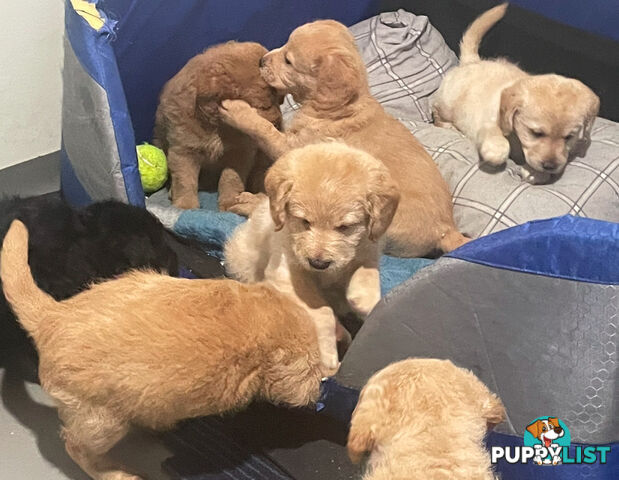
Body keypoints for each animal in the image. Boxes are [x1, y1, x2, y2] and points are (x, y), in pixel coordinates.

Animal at [220, 20, 468, 256]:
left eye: (288, 61)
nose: (261, 61)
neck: (341, 108)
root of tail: (447, 230)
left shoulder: (291, 147)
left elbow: (263, 128)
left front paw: (237, 110)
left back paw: (249, 202)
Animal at [432, 3, 600, 184]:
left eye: (569, 137)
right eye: (536, 133)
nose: (550, 165)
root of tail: (472, 61)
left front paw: (535, 172)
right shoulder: (489, 121)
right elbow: (498, 140)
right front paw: (496, 152)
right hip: (447, 104)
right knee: (436, 113)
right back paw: (448, 125)